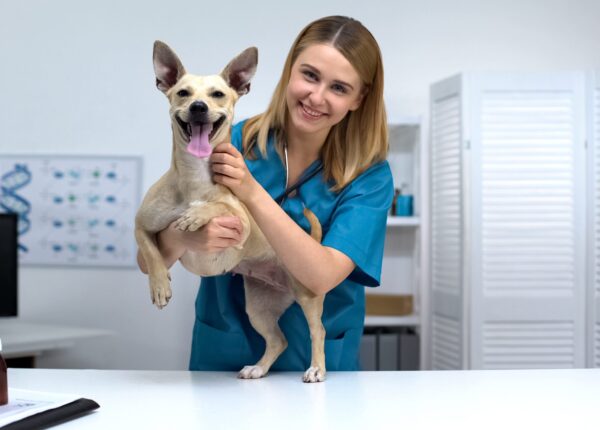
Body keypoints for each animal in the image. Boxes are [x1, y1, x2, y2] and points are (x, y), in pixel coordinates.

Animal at [135, 41, 328, 382]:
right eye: (182, 93)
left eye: (217, 94)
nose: (198, 107)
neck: (194, 177)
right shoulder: (141, 224)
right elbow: (151, 252)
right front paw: (159, 286)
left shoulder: (242, 222)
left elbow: (219, 205)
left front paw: (196, 215)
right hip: (259, 308)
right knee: (278, 340)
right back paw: (259, 368)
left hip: (307, 294)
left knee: (318, 332)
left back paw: (316, 368)